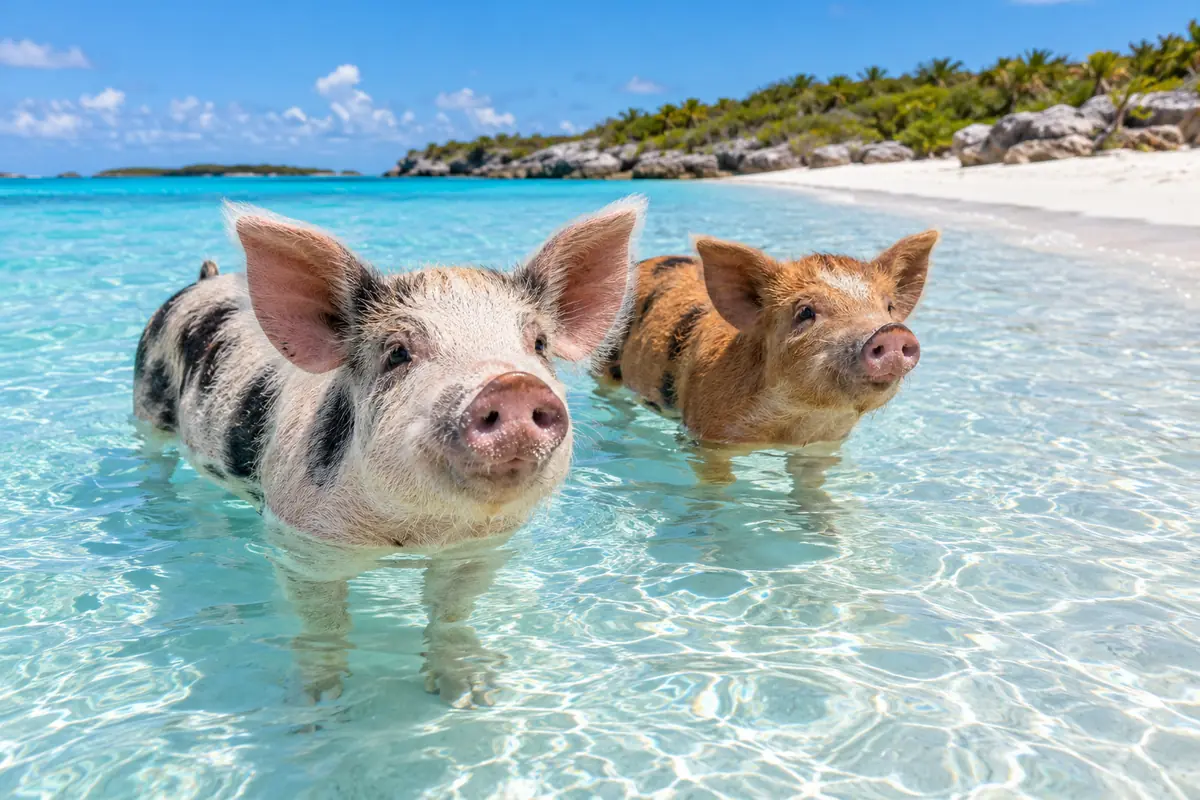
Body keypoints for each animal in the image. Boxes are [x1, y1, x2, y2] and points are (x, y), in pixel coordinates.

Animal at [132, 197, 645, 704]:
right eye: (397, 352)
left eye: (538, 345)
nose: (513, 385)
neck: (415, 531)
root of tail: (208, 279)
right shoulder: (304, 546)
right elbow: (324, 625)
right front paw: (320, 701)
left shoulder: (479, 548)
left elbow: (451, 614)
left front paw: (470, 693)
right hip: (146, 398)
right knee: (155, 459)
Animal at [598, 231, 938, 451]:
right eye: (805, 312)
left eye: (889, 307)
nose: (891, 331)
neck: (792, 425)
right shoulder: (707, 438)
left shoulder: (821, 447)